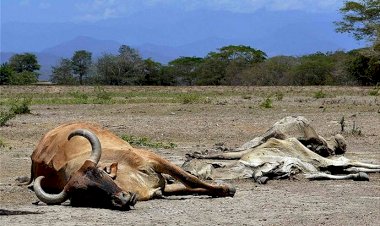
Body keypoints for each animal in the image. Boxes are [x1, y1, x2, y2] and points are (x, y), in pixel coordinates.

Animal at [27, 122, 235, 210]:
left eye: (100, 174)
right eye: (84, 194)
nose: (123, 198)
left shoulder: (153, 159)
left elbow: (189, 179)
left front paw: (226, 189)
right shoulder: (160, 189)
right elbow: (186, 187)